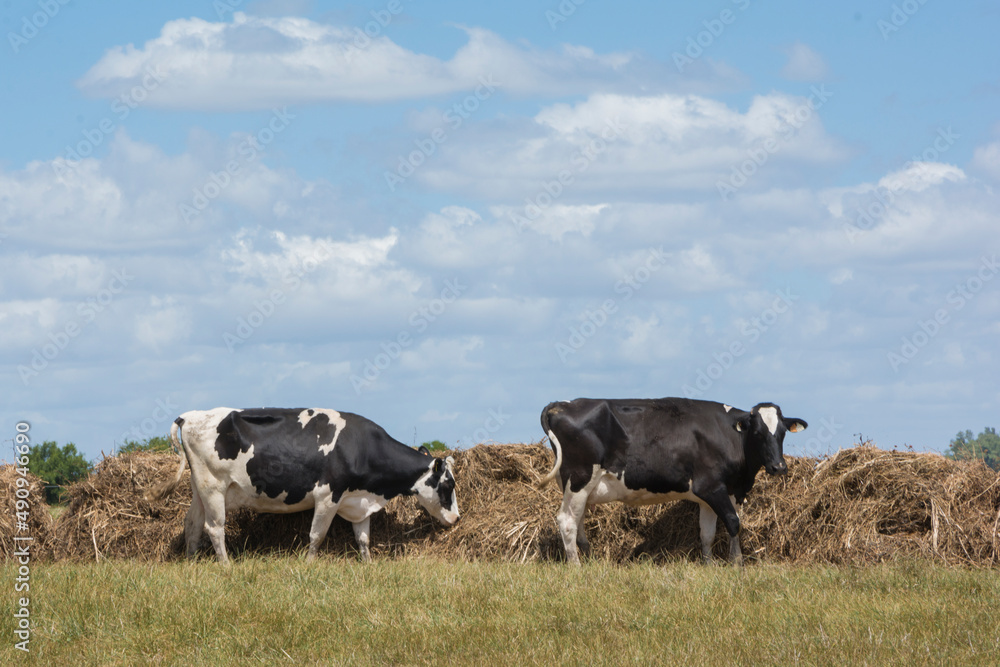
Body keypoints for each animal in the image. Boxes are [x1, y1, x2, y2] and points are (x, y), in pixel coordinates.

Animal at [146, 408, 460, 564]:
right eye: (448, 485)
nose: (457, 518)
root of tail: (191, 415)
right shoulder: (329, 496)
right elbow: (317, 535)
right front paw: (308, 565)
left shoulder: (356, 501)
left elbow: (363, 539)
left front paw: (368, 566)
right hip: (213, 487)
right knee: (214, 527)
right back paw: (226, 566)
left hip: (199, 488)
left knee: (192, 524)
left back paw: (192, 562)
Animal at [540, 400, 804, 568]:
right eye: (758, 433)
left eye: (782, 433)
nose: (779, 467)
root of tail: (562, 404)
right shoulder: (710, 487)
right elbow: (733, 522)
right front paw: (737, 564)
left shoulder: (718, 494)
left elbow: (707, 533)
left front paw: (708, 565)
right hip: (579, 478)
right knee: (566, 521)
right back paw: (576, 567)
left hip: (578, 486)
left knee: (578, 520)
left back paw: (589, 560)